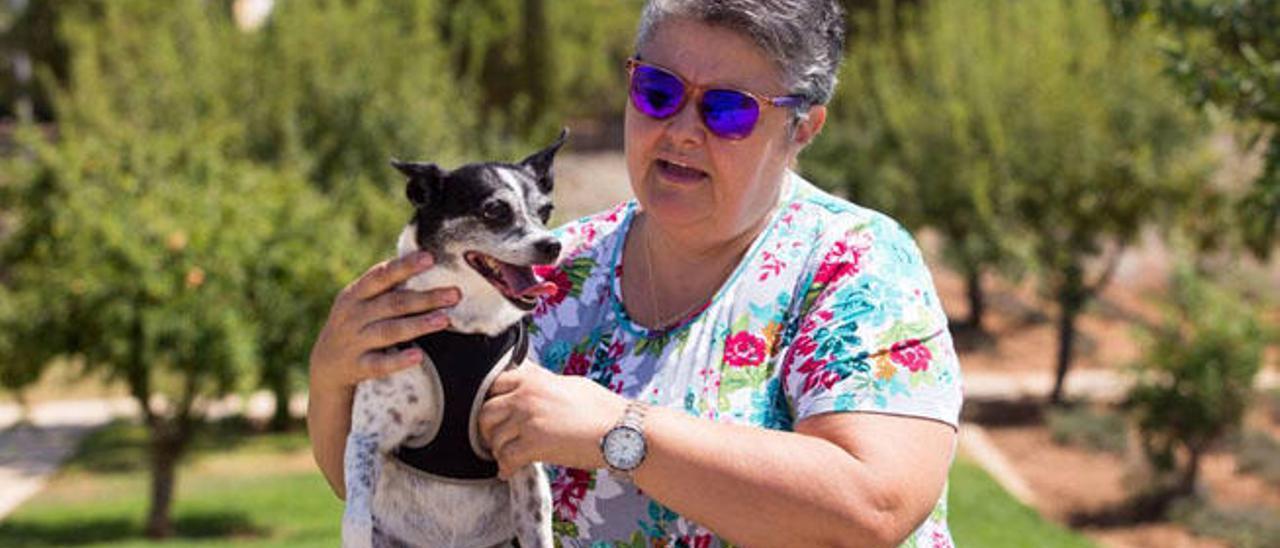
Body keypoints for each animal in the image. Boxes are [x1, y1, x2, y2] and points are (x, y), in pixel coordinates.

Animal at [340, 130, 565, 545]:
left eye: (545, 212)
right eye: (494, 210)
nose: (551, 245)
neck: (467, 328)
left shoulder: (524, 461)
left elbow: (539, 526)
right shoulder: (368, 436)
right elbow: (357, 515)